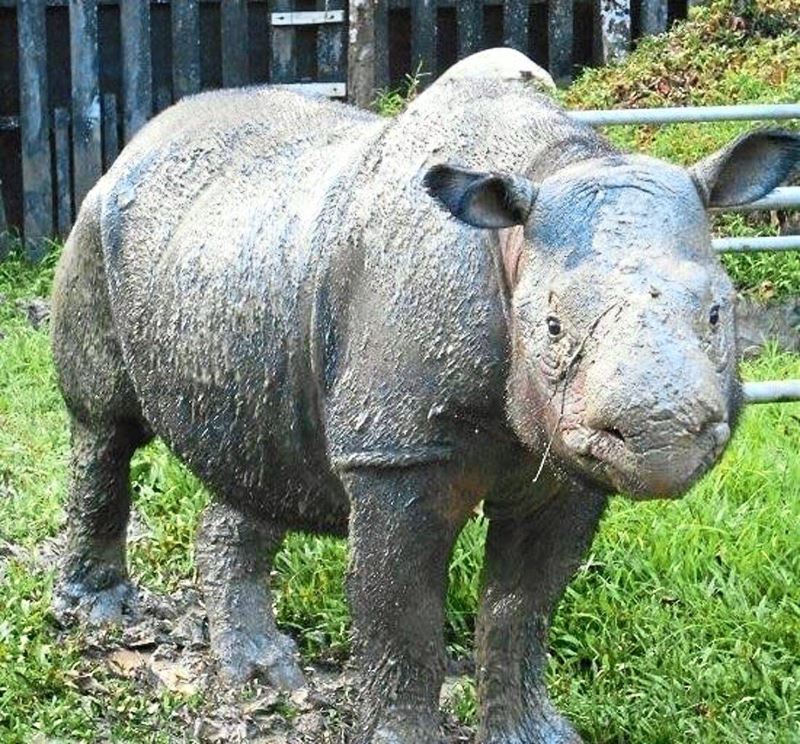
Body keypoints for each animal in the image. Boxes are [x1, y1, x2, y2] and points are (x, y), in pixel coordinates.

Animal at [51, 49, 800, 743]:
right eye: (552, 326)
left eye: (718, 313)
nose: (660, 433)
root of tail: (139, 140)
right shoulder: (397, 454)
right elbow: (402, 619)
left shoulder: (569, 459)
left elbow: (521, 607)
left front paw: (534, 734)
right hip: (94, 223)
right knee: (104, 426)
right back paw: (97, 614)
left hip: (245, 262)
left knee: (258, 456)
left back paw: (262, 672)